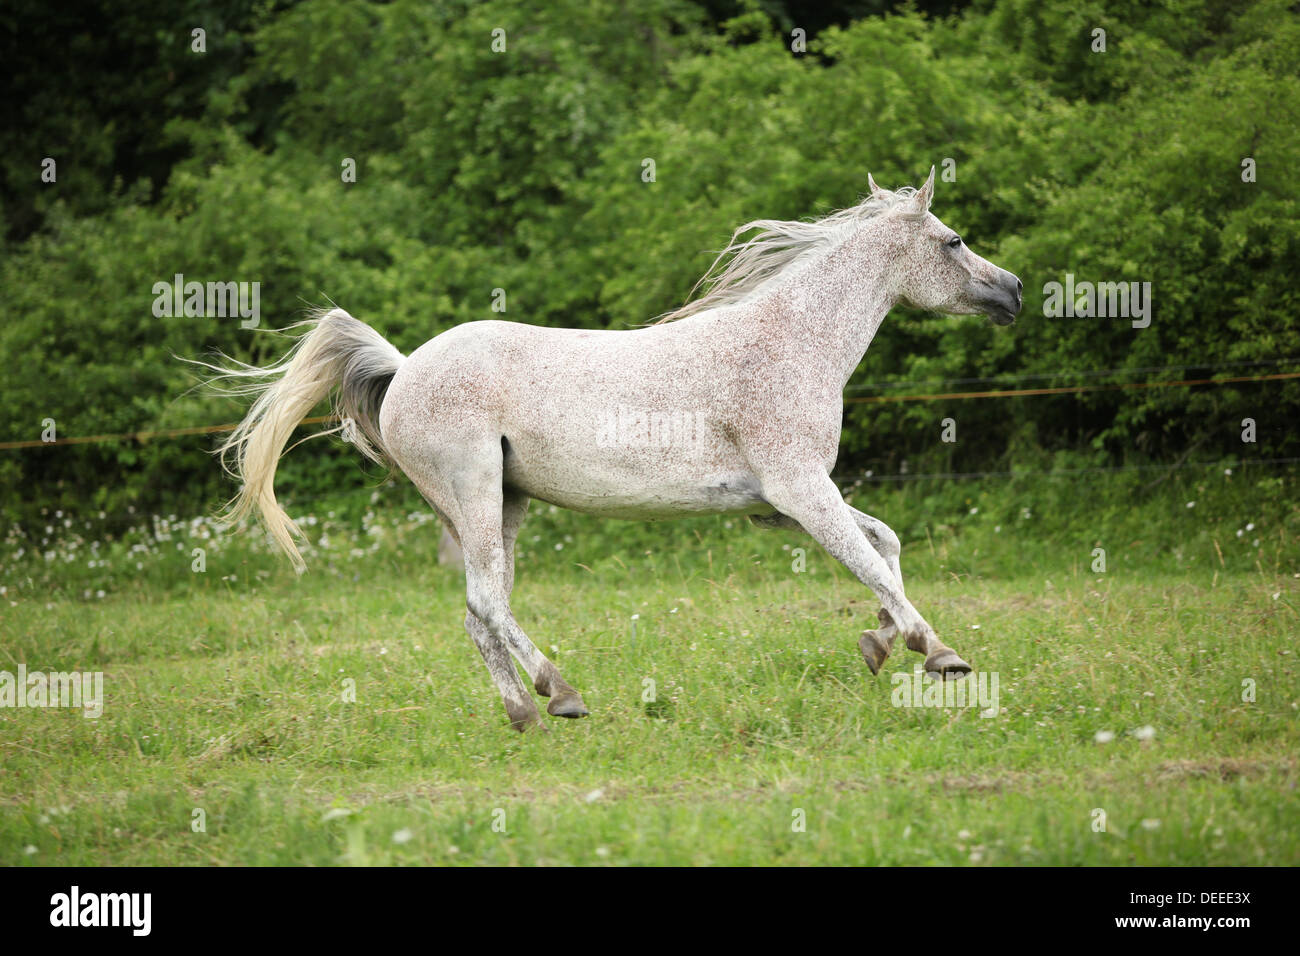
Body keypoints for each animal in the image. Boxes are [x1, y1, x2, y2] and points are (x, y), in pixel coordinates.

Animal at [203, 168, 1022, 730]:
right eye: (952, 241)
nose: (1013, 291)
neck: (788, 344)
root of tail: (404, 369)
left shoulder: (779, 503)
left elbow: (884, 546)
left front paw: (882, 644)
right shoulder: (799, 490)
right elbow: (872, 563)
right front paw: (937, 652)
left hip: (501, 505)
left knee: (479, 612)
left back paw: (526, 716)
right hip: (475, 494)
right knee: (486, 603)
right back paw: (561, 694)